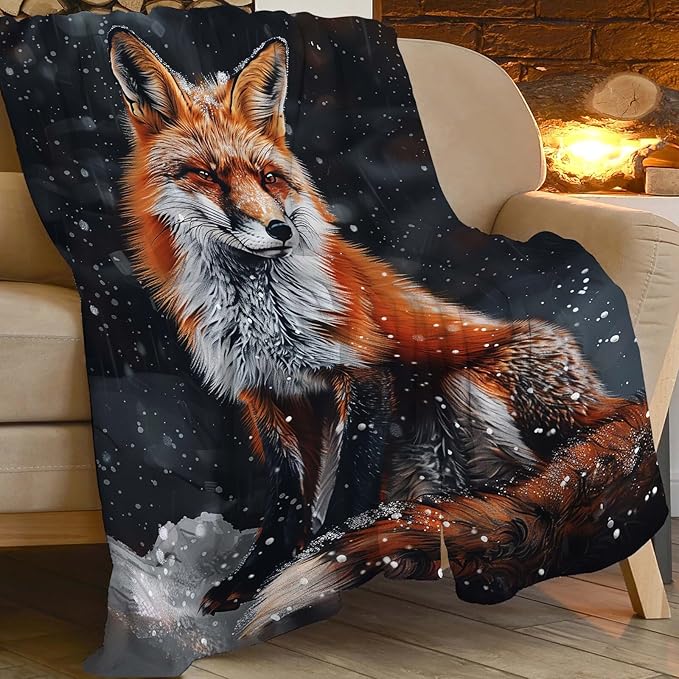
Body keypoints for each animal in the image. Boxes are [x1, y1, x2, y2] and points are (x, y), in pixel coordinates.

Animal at [108, 27, 636, 617]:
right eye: (204, 174)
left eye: (269, 178)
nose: (278, 230)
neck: (261, 315)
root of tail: (612, 403)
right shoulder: (267, 396)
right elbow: (286, 502)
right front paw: (253, 579)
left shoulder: (361, 375)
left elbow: (351, 485)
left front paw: (329, 555)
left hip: (468, 387)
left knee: (524, 491)